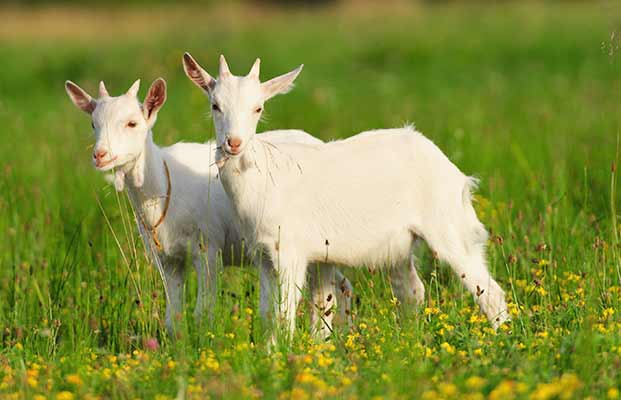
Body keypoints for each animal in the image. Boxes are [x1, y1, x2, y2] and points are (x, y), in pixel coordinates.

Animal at [64, 76, 354, 336]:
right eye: (93, 124)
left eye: (132, 123)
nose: (100, 155)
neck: (162, 184)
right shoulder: (167, 259)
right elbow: (173, 318)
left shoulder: (208, 248)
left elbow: (203, 312)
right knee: (342, 285)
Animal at [180, 51, 508, 336]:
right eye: (215, 105)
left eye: (258, 108)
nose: (233, 143)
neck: (261, 176)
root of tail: (455, 173)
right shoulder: (263, 254)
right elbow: (269, 313)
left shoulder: (289, 251)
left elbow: (285, 313)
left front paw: (280, 357)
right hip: (400, 246)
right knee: (412, 291)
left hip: (448, 227)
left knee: (489, 292)